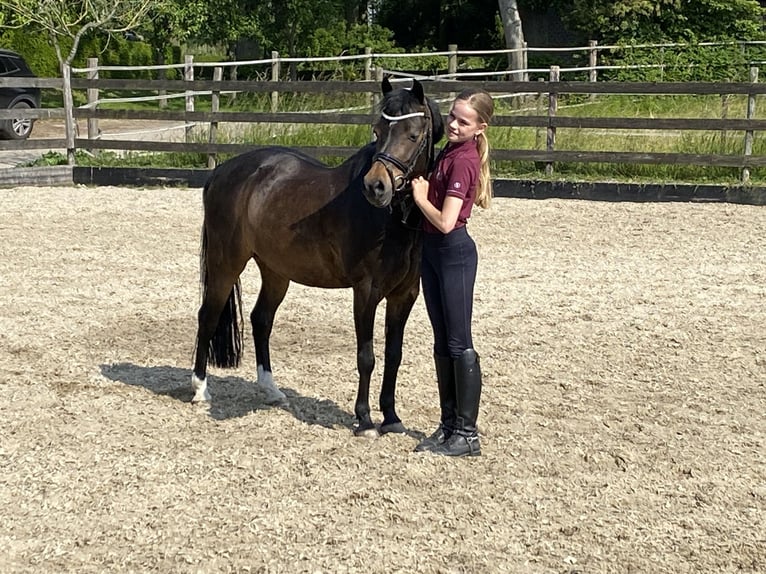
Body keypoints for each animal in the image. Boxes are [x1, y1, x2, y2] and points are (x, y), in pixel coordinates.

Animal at [191, 80, 444, 436]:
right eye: (378, 131)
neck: (390, 220)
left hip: (276, 271)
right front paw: (365, 420)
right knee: (208, 316)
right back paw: (200, 389)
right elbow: (366, 356)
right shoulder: (366, 292)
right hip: (225, 263)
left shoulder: (404, 295)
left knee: (261, 319)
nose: (375, 186)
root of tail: (222, 173)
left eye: (412, 134)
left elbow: (393, 355)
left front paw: (392, 418)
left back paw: (271, 390)